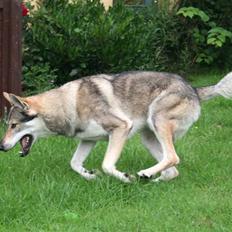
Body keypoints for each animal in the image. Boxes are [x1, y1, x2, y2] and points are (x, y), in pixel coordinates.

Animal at [0, 71, 232, 182]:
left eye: (13, 125)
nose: (1, 147)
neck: (67, 104)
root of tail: (194, 89)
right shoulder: (88, 140)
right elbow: (74, 164)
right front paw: (91, 176)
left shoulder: (121, 128)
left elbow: (107, 165)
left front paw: (125, 178)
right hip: (148, 138)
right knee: (172, 171)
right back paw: (151, 180)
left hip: (157, 121)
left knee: (173, 158)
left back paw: (145, 174)